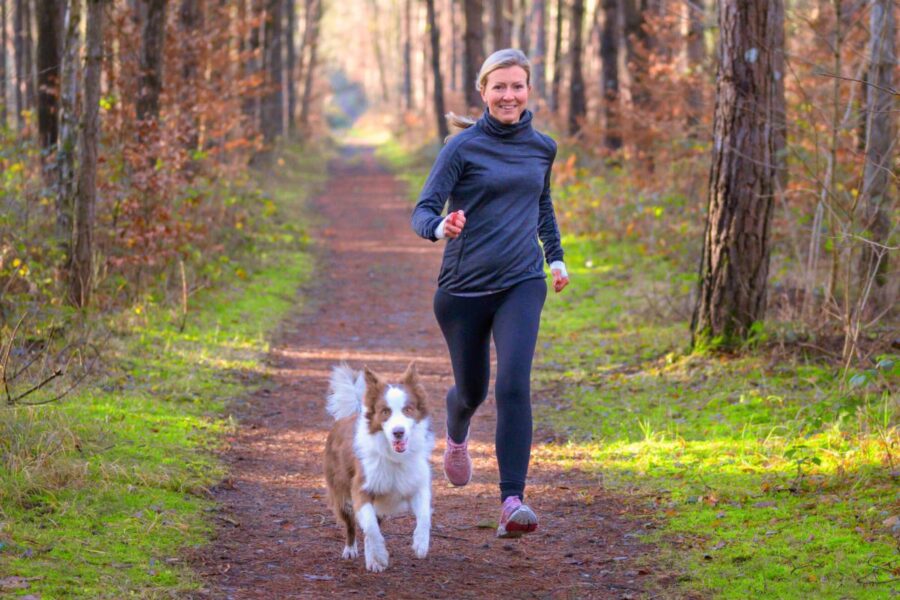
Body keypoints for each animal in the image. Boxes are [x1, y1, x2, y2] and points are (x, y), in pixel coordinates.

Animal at [324, 360, 436, 572]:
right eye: (385, 412)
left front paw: (421, 543)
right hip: (342, 492)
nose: (398, 432)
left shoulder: (416, 485)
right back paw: (352, 550)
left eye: (408, 409)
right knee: (352, 525)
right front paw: (380, 556)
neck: (394, 457)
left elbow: (425, 516)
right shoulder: (361, 489)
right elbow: (371, 528)